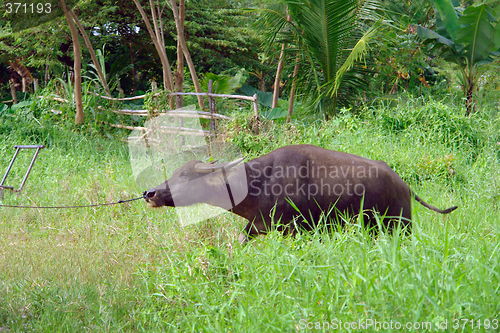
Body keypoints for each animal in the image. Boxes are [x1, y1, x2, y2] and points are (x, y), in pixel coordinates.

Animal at [144, 144, 458, 243]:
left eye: (184, 176)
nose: (150, 192)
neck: (258, 183)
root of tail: (404, 185)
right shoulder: (256, 227)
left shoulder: (298, 229)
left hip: (400, 225)